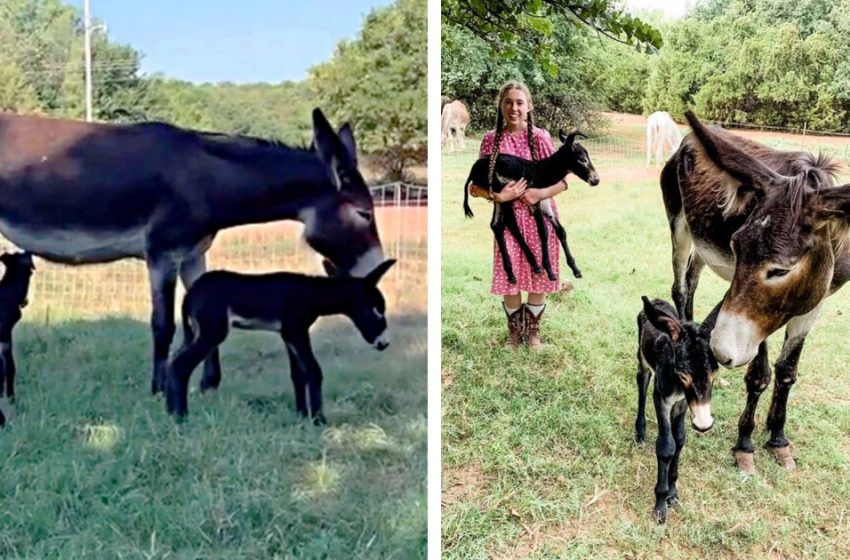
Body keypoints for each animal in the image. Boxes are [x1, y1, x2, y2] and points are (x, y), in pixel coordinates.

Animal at [0, 108, 380, 398]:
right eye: (365, 214)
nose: (377, 267)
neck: (204, 181)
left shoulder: (193, 255)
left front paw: (208, 385)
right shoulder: (163, 254)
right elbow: (163, 325)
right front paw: (158, 390)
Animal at [164, 260, 396, 422]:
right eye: (376, 309)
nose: (384, 343)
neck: (310, 294)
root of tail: (190, 293)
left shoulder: (288, 335)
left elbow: (298, 374)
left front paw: (302, 415)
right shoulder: (297, 331)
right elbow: (313, 370)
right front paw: (318, 420)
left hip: (195, 332)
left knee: (171, 362)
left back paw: (169, 412)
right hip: (213, 332)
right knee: (180, 365)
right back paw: (181, 418)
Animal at [460, 129, 600, 282]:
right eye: (582, 159)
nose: (596, 180)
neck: (541, 172)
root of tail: (474, 168)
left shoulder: (545, 202)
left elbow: (560, 230)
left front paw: (576, 270)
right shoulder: (534, 202)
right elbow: (543, 231)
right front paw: (549, 271)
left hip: (498, 200)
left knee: (496, 225)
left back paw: (511, 273)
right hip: (506, 196)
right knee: (511, 224)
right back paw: (534, 265)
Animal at [632, 298, 720, 524]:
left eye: (714, 372)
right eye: (682, 373)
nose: (704, 424)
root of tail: (657, 301)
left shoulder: (682, 403)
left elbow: (679, 439)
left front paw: (672, 492)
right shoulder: (662, 399)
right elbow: (666, 446)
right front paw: (660, 507)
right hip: (642, 357)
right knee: (642, 381)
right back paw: (640, 433)